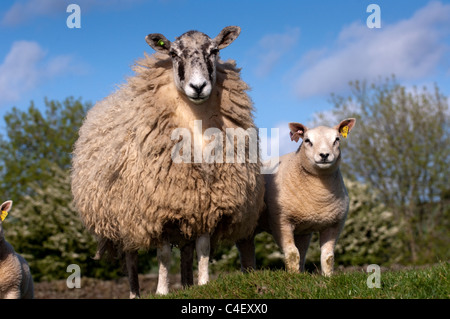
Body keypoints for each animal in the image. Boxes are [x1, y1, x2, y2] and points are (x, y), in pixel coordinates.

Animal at [72, 26, 266, 298]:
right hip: (124, 218)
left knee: (186, 250)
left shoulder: (205, 203)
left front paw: (204, 284)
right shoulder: (158, 208)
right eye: (174, 53)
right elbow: (163, 255)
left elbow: (203, 249)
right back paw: (136, 293)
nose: (198, 86)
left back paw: (186, 285)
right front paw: (162, 290)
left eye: (214, 50)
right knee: (131, 258)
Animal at [253, 119, 356, 276]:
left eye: (337, 139)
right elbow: (292, 253)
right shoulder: (281, 221)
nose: (324, 155)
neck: (318, 196)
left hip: (303, 229)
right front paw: (293, 277)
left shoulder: (334, 224)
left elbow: (328, 256)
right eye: (307, 140)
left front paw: (328, 277)